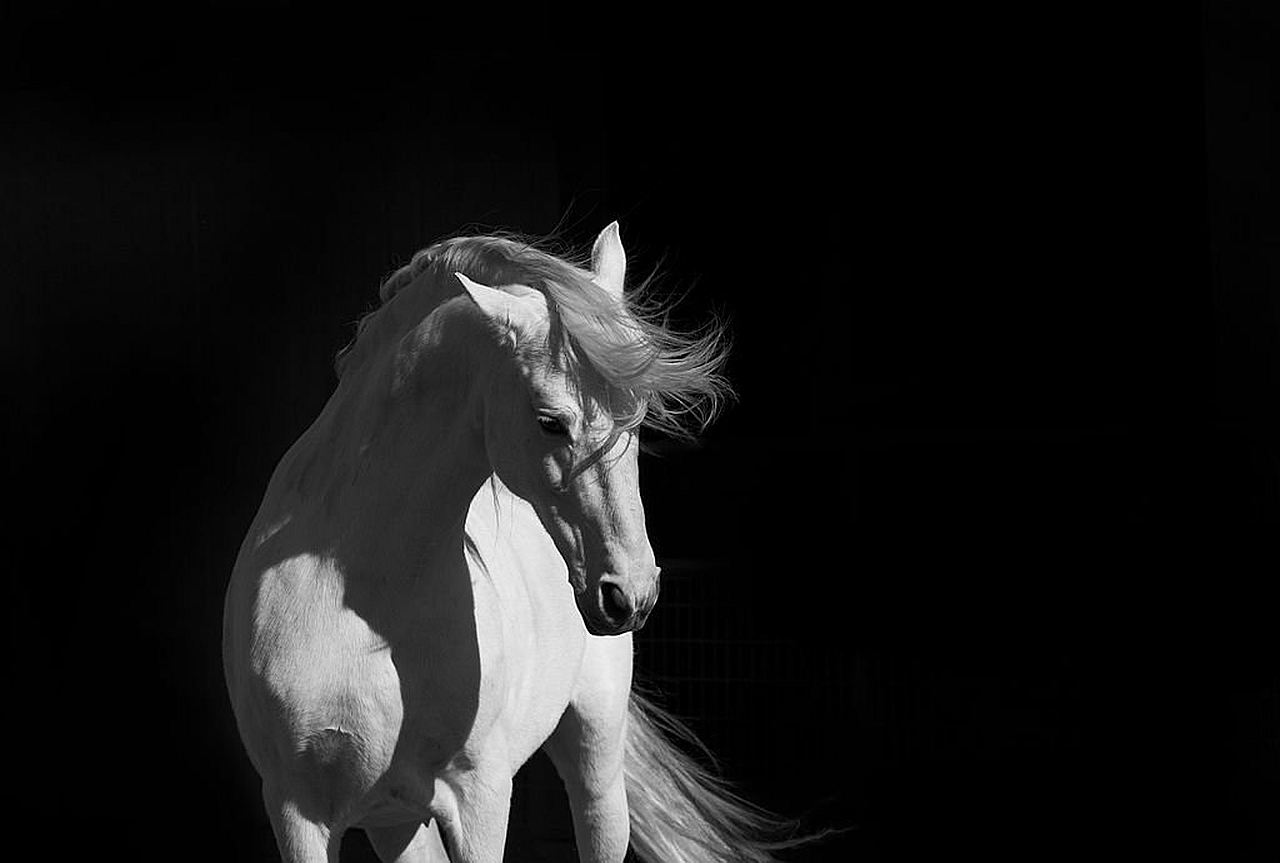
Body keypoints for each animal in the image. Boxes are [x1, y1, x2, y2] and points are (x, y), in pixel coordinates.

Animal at [222, 223, 798, 862]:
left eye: (639, 416)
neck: (365, 592)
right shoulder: (298, 814)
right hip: (397, 823)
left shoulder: (479, 799)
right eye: (550, 421)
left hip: (595, 761)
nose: (630, 595)